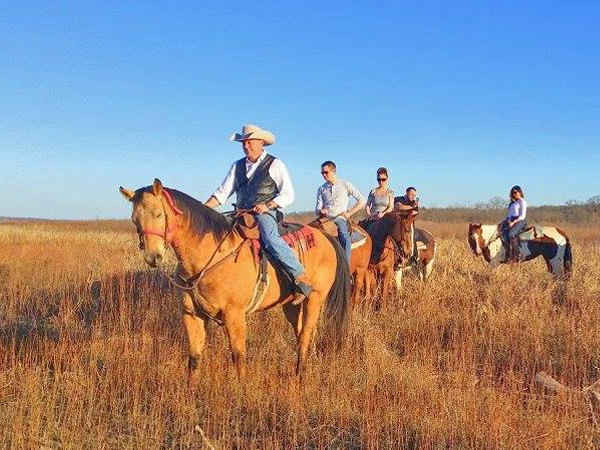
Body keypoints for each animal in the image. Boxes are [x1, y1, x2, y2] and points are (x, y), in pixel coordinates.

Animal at [119, 178, 352, 382]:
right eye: (134, 220)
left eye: (159, 214)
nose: (153, 257)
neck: (210, 256)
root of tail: (325, 237)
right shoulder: (191, 314)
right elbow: (194, 358)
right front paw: (190, 394)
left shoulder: (234, 315)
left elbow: (238, 357)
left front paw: (241, 394)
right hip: (292, 305)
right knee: (302, 332)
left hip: (315, 299)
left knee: (306, 336)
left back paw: (300, 376)